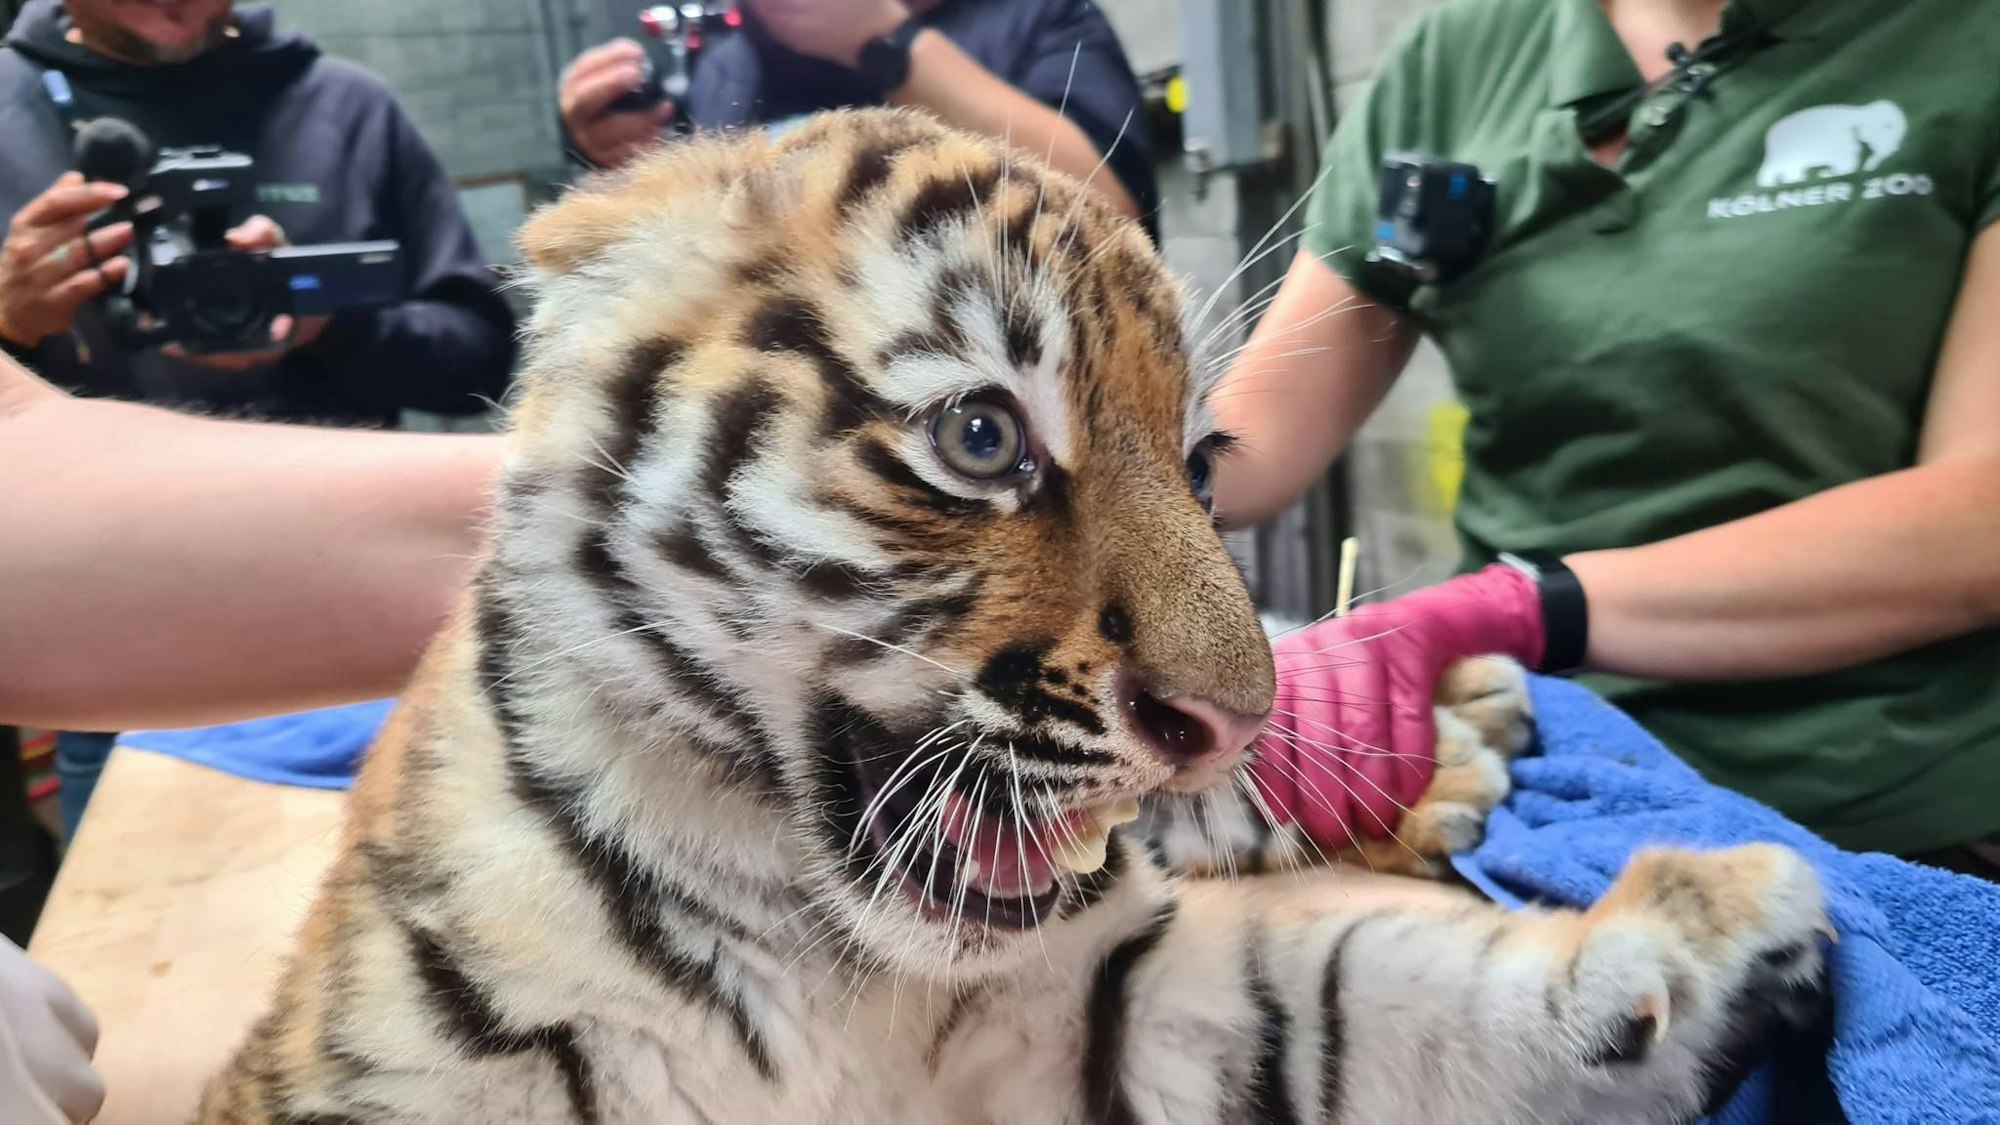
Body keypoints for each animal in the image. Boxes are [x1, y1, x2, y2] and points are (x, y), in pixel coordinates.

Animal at [196, 108, 1829, 1125]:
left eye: (1200, 464)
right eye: (982, 439)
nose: (1223, 717)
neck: (828, 962)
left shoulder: (1094, 995)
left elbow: (1341, 996)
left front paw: (1701, 930)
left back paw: (1448, 725)